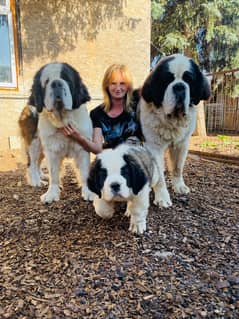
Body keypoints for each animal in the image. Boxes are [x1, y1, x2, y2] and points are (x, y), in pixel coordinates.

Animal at [18, 62, 94, 205]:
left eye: (67, 79)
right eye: (46, 81)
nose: (56, 83)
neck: (64, 121)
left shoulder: (83, 146)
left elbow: (85, 172)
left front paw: (89, 192)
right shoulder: (52, 149)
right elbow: (54, 174)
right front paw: (52, 194)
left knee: (37, 162)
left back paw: (42, 176)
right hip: (35, 142)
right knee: (32, 163)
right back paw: (36, 181)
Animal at [139, 53, 210, 209]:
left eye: (188, 79)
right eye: (167, 80)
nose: (179, 86)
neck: (172, 121)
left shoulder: (182, 144)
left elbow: (178, 167)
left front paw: (179, 186)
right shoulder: (153, 147)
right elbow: (159, 176)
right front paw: (162, 197)